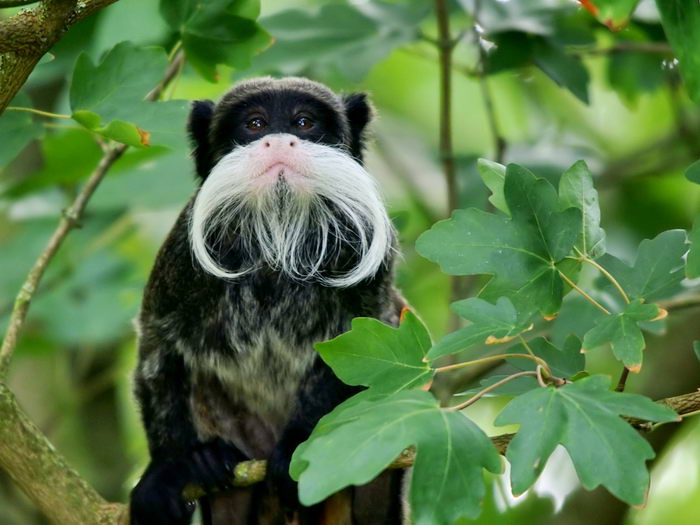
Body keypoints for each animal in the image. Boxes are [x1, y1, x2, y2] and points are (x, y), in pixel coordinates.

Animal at [129, 78, 408, 524]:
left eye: (304, 122)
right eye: (255, 124)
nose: (278, 140)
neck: (277, 230)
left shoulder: (370, 258)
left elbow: (364, 337)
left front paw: (298, 446)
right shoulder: (178, 261)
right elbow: (158, 347)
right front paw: (167, 467)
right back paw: (211, 467)